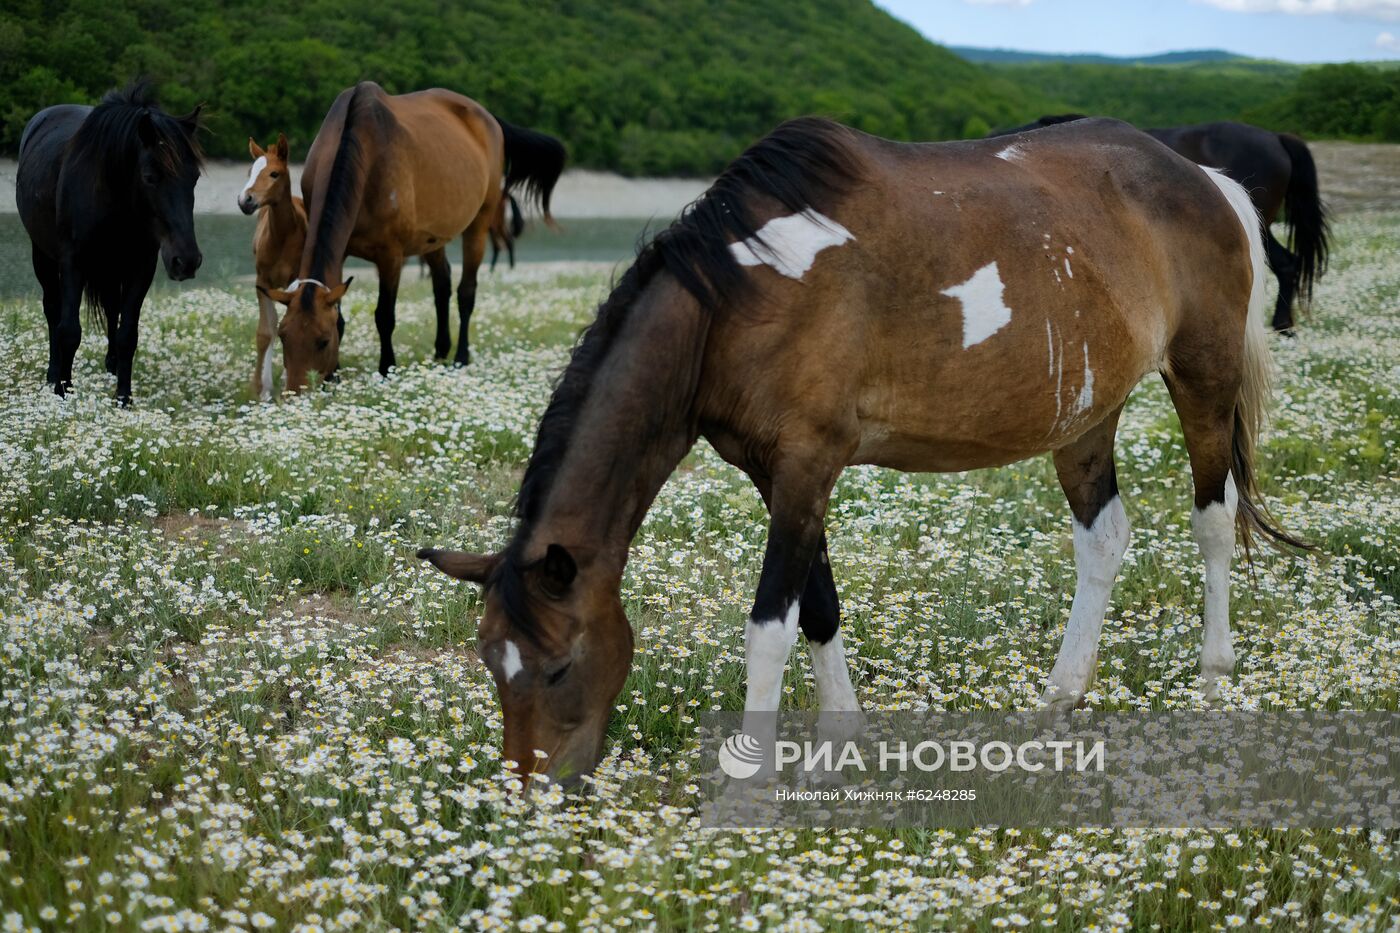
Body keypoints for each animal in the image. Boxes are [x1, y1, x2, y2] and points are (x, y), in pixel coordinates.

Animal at [15, 79, 204, 400]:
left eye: (195, 178)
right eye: (150, 177)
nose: (187, 261)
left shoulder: (141, 266)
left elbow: (128, 333)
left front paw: (123, 397)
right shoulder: (73, 263)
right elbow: (69, 330)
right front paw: (63, 390)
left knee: (112, 310)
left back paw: (112, 366)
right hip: (42, 255)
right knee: (52, 309)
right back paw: (53, 373)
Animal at [239, 132, 308, 397]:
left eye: (274, 173)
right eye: (250, 171)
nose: (245, 200)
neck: (281, 237)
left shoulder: (295, 279)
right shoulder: (262, 281)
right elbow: (265, 331)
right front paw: (259, 389)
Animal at [260, 78, 565, 386]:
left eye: (322, 341)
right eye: (284, 337)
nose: (298, 389)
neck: (361, 148)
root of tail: (488, 117)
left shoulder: (391, 255)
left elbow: (385, 315)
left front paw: (386, 368)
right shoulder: (342, 251)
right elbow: (341, 316)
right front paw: (335, 374)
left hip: (480, 223)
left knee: (466, 292)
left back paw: (460, 357)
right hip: (432, 237)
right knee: (441, 284)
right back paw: (440, 351)